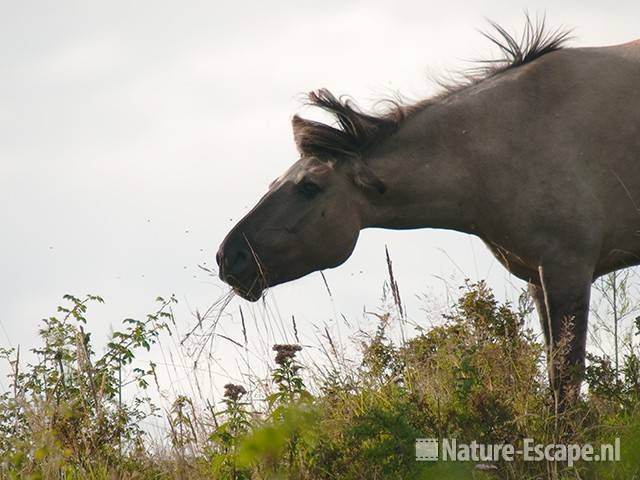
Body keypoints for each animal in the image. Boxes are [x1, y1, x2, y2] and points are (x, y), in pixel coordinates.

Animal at [215, 19, 640, 408]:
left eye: (308, 187)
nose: (229, 257)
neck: (509, 139)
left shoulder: (567, 270)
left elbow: (565, 383)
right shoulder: (540, 279)